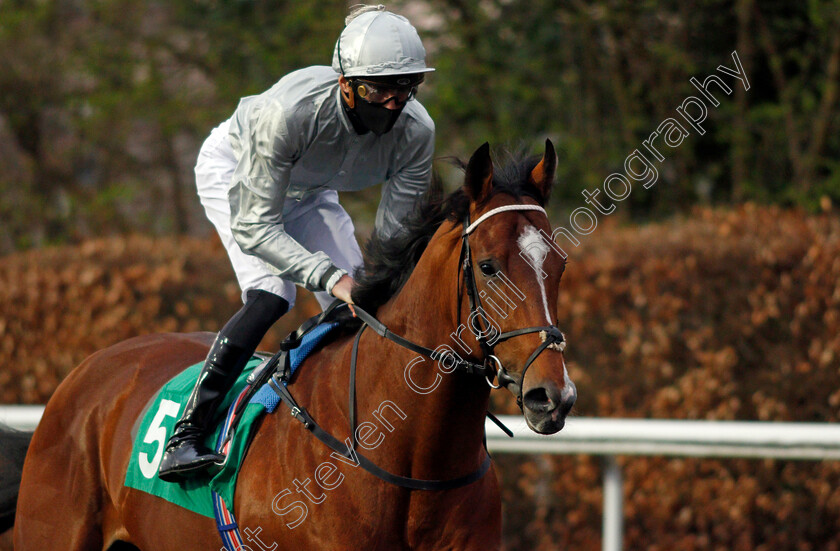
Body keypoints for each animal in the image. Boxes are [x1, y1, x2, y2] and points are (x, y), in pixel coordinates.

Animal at [4, 140, 576, 548]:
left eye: (559, 263)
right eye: (489, 266)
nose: (553, 396)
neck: (411, 462)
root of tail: (87, 371)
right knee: (265, 294)